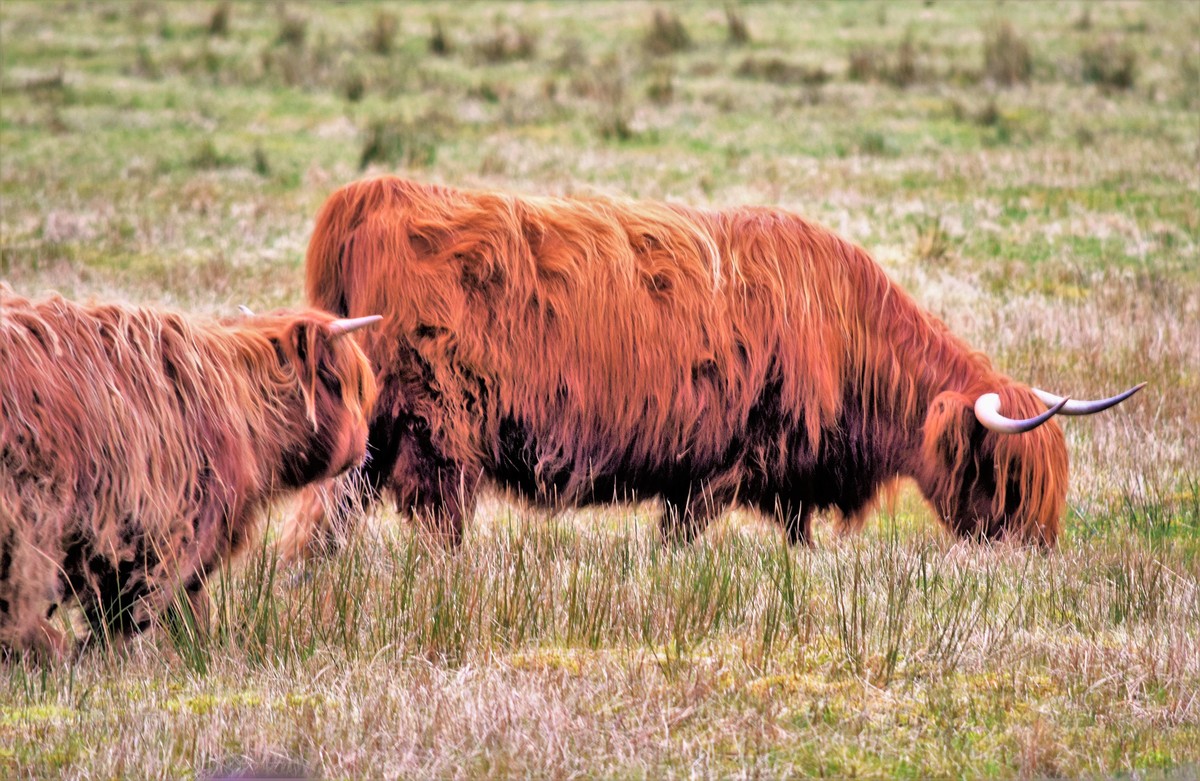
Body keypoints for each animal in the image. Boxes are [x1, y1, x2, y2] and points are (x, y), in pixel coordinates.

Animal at [280, 177, 1142, 556]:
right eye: (1006, 476)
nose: (1037, 548)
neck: (849, 331)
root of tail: (375, 194)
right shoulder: (725, 462)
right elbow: (685, 532)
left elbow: (793, 534)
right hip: (435, 425)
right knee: (437, 515)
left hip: (373, 430)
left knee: (327, 516)